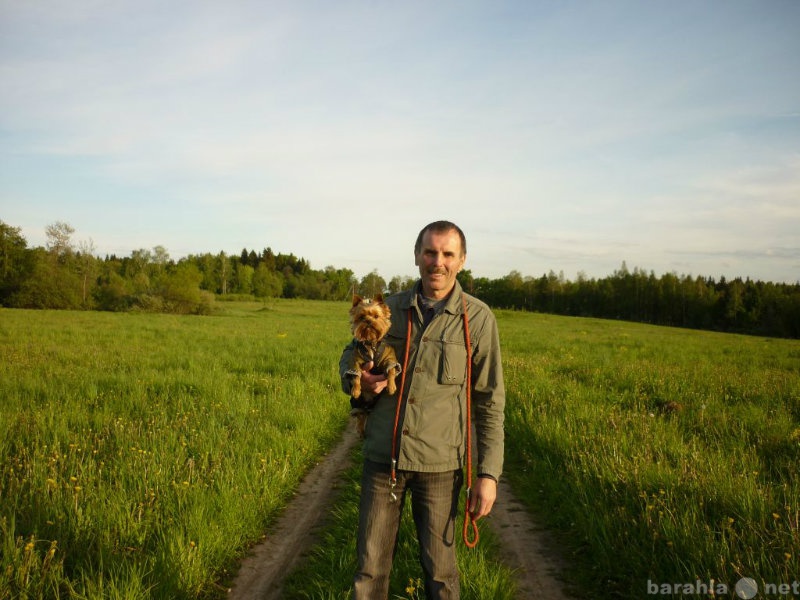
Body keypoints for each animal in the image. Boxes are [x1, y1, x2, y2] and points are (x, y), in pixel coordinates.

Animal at [346, 292, 404, 434]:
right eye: (361, 317)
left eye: (376, 316)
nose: (368, 321)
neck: (371, 342)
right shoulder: (355, 360)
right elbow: (356, 376)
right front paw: (356, 390)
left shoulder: (389, 358)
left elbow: (392, 370)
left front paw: (391, 387)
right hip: (357, 404)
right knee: (360, 414)